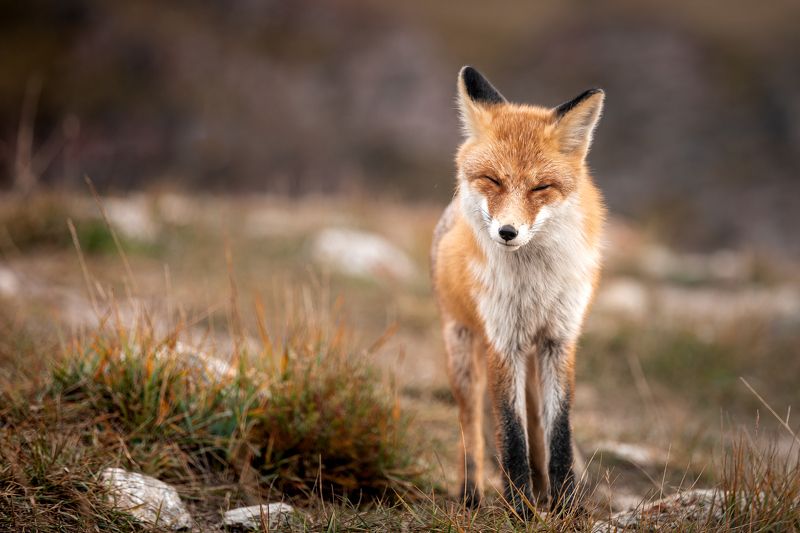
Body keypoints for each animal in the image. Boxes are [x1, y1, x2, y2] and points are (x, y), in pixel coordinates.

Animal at [430, 66, 605, 514]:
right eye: (492, 180)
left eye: (540, 188)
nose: (507, 232)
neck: (534, 283)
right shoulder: (502, 341)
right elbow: (510, 436)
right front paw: (520, 509)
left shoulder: (559, 339)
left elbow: (558, 431)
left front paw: (565, 505)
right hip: (463, 354)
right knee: (471, 428)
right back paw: (471, 493)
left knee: (538, 426)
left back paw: (546, 489)